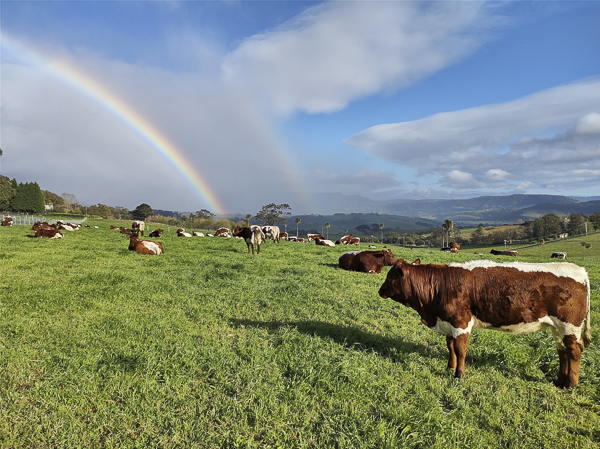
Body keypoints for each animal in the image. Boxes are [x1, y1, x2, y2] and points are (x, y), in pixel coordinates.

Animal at [380, 260, 592, 388]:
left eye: (390, 276)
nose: (380, 290)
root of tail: (579, 269)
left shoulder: (461, 322)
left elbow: (460, 349)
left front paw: (459, 375)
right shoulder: (449, 321)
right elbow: (450, 346)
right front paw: (450, 366)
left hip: (570, 324)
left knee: (574, 350)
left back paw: (571, 384)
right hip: (557, 327)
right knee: (563, 351)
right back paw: (560, 381)